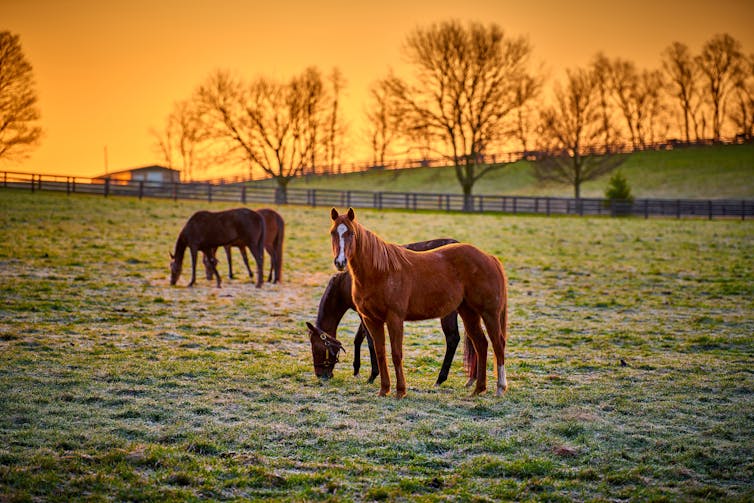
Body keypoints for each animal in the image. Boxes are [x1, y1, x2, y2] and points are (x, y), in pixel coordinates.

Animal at [307, 238, 477, 384]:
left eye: (316, 348)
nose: (320, 375)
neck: (346, 282)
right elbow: (358, 339)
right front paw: (356, 369)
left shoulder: (366, 315)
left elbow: (370, 341)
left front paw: (373, 375)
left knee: (453, 338)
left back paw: (441, 379)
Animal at [329, 207, 508, 398]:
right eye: (333, 232)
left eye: (351, 233)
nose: (340, 262)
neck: (380, 271)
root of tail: (489, 257)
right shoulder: (371, 320)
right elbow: (380, 352)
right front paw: (384, 390)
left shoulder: (394, 319)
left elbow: (396, 354)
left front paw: (400, 391)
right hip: (469, 313)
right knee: (481, 344)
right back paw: (478, 389)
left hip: (489, 313)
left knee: (498, 344)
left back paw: (500, 387)